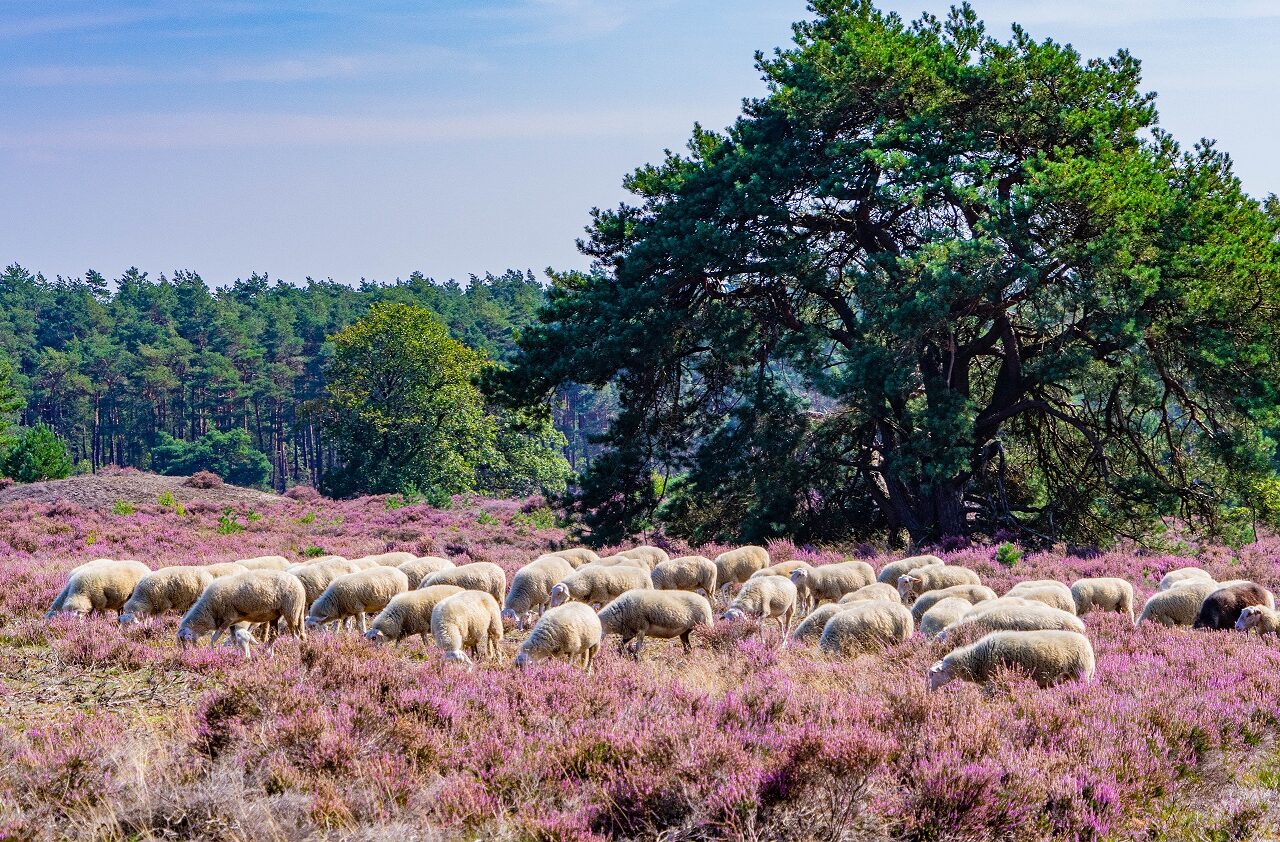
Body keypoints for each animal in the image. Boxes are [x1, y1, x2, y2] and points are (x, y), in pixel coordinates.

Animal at [175, 568, 307, 652]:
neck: (208, 610)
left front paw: (211, 650)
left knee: (295, 634)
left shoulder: (228, 619)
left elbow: (214, 638)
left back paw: (294, 649)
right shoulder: (232, 623)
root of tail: (300, 586)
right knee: (274, 635)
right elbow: (234, 640)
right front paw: (236, 653)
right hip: (276, 614)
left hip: (291, 611)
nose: (187, 654)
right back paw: (265, 652)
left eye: (183, 640)